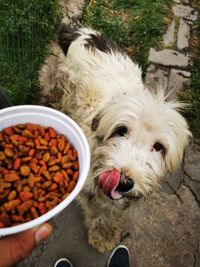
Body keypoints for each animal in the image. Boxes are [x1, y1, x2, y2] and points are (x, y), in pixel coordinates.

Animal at [38, 24, 191, 253]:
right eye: (120, 130)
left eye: (158, 146)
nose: (124, 182)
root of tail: (83, 32)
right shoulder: (90, 189)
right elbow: (97, 212)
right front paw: (101, 235)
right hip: (70, 89)